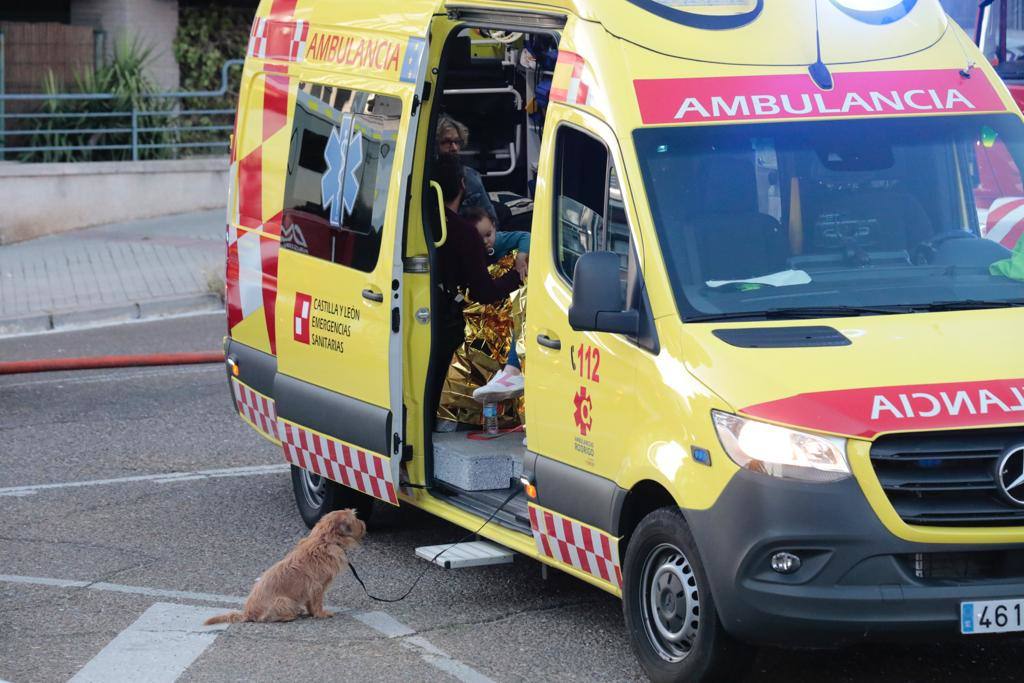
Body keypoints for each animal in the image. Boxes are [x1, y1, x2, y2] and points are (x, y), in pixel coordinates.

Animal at [205, 507, 366, 626]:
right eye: (355, 519)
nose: (364, 523)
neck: (324, 539)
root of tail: (247, 613)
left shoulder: (311, 588)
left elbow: (310, 602)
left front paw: (312, 612)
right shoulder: (317, 586)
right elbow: (317, 601)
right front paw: (321, 614)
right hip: (283, 601)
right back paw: (290, 615)